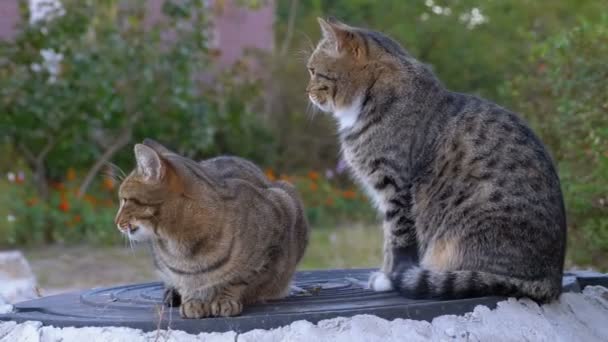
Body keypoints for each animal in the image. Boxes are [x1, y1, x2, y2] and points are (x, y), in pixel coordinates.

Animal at [114, 139, 308, 318]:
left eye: (125, 200)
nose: (115, 221)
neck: (181, 244)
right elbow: (185, 283)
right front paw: (193, 299)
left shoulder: (275, 230)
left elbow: (238, 279)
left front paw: (224, 299)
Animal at [306, 18, 568, 302]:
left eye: (314, 71)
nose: (307, 92)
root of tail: (551, 280)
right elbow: (388, 241)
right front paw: (385, 273)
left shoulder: (395, 187)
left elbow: (397, 239)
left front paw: (390, 277)